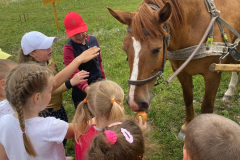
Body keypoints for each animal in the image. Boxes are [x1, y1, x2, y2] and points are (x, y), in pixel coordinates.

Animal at [108, 0, 240, 133]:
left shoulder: (212, 75)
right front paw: (187, 126)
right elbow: (188, 98)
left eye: (157, 49)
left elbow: (207, 107)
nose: (134, 103)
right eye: (125, 49)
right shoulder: (181, 72)